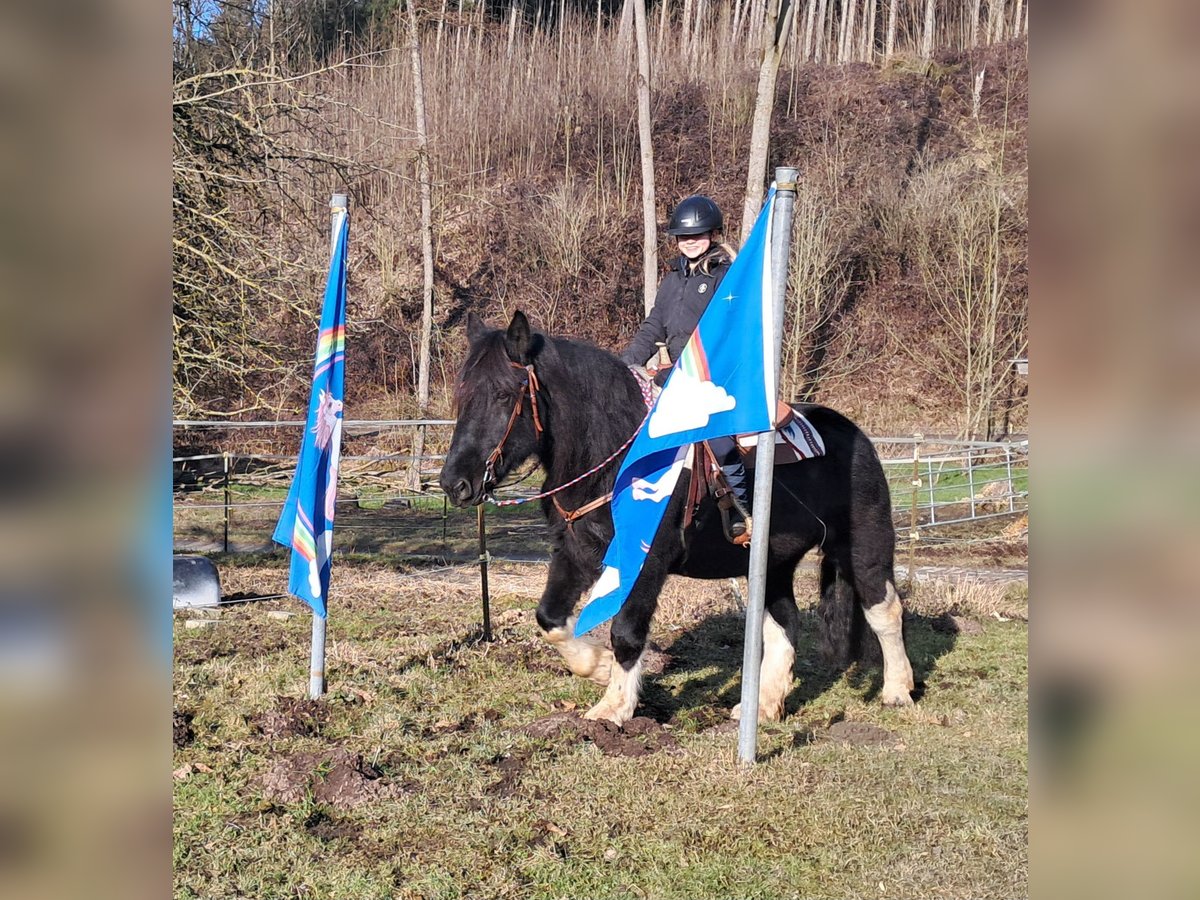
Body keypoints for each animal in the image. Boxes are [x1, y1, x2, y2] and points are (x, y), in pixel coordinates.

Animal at [441, 314, 916, 729]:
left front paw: (613, 708)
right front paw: (597, 667)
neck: (615, 457)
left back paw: (897, 690)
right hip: (773, 561)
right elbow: (550, 619)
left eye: (505, 394)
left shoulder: (645, 563)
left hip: (863, 545)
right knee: (783, 622)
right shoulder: (575, 553)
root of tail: (854, 434)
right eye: (463, 395)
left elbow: (626, 632)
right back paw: (762, 707)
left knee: (884, 609)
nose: (455, 483)